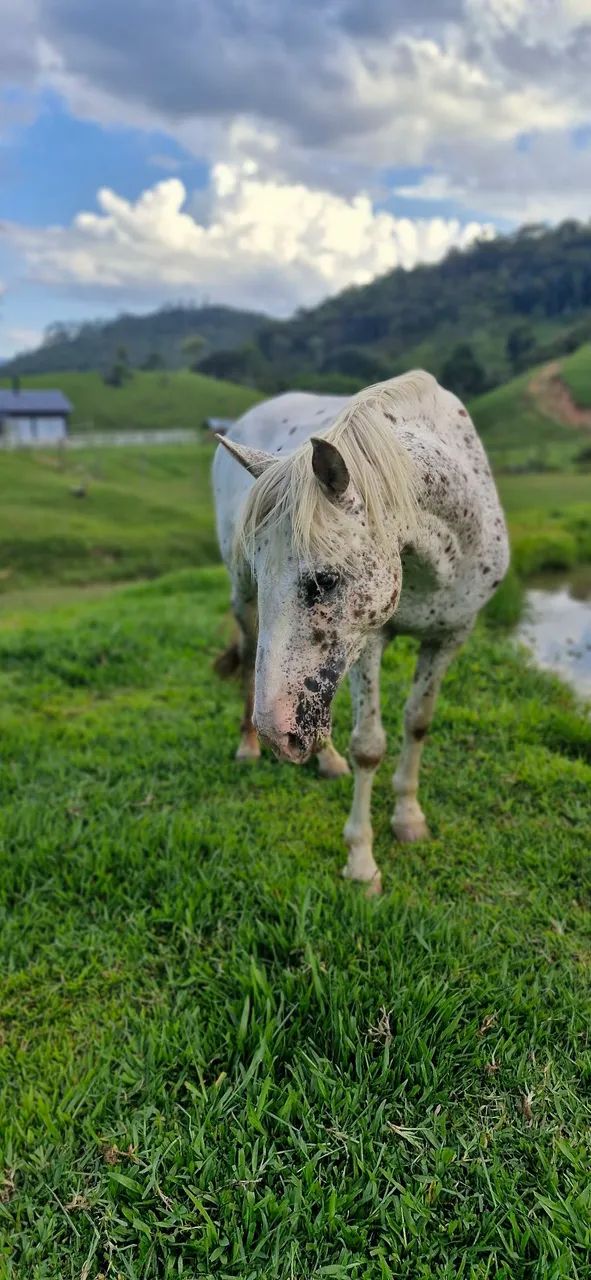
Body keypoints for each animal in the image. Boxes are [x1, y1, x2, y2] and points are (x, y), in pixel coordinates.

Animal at [212, 371, 509, 893]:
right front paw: (362, 863)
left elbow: (418, 722)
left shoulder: (451, 635)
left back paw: (323, 759)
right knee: (248, 655)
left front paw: (409, 818)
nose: (276, 735)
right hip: (242, 599)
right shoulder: (369, 643)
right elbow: (368, 747)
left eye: (325, 580)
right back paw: (247, 746)